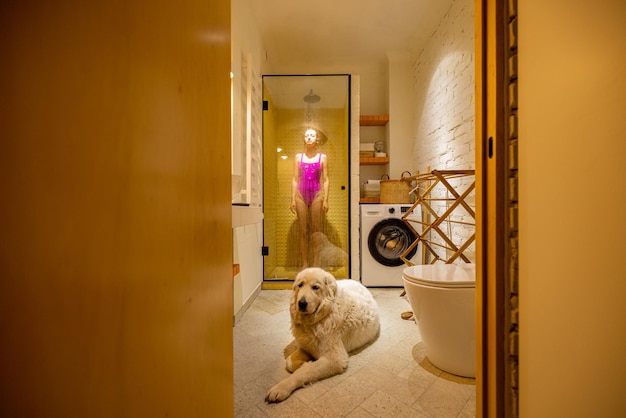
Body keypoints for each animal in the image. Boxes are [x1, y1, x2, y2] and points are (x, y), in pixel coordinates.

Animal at [264, 268, 380, 402]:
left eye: (315, 287)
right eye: (300, 285)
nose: (301, 303)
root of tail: (359, 283)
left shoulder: (334, 359)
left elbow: (303, 372)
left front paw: (282, 387)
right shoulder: (307, 346)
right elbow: (289, 362)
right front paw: (303, 363)